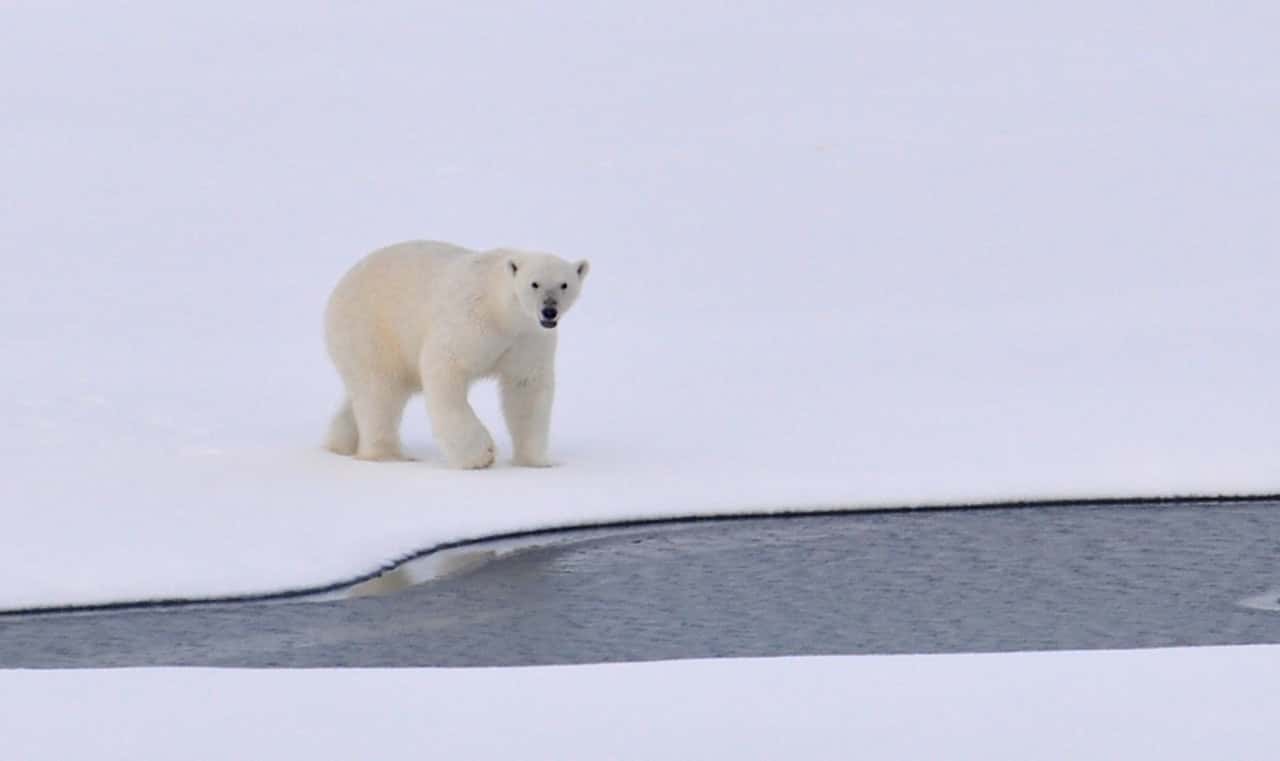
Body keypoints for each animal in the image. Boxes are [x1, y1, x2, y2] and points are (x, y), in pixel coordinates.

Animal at [323, 240, 589, 469]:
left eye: (564, 284)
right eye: (534, 283)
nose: (549, 310)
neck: (502, 311)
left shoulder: (528, 338)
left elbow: (526, 388)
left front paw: (536, 461)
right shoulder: (470, 320)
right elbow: (446, 367)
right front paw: (480, 455)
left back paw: (340, 442)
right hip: (371, 329)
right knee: (379, 391)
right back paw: (388, 455)